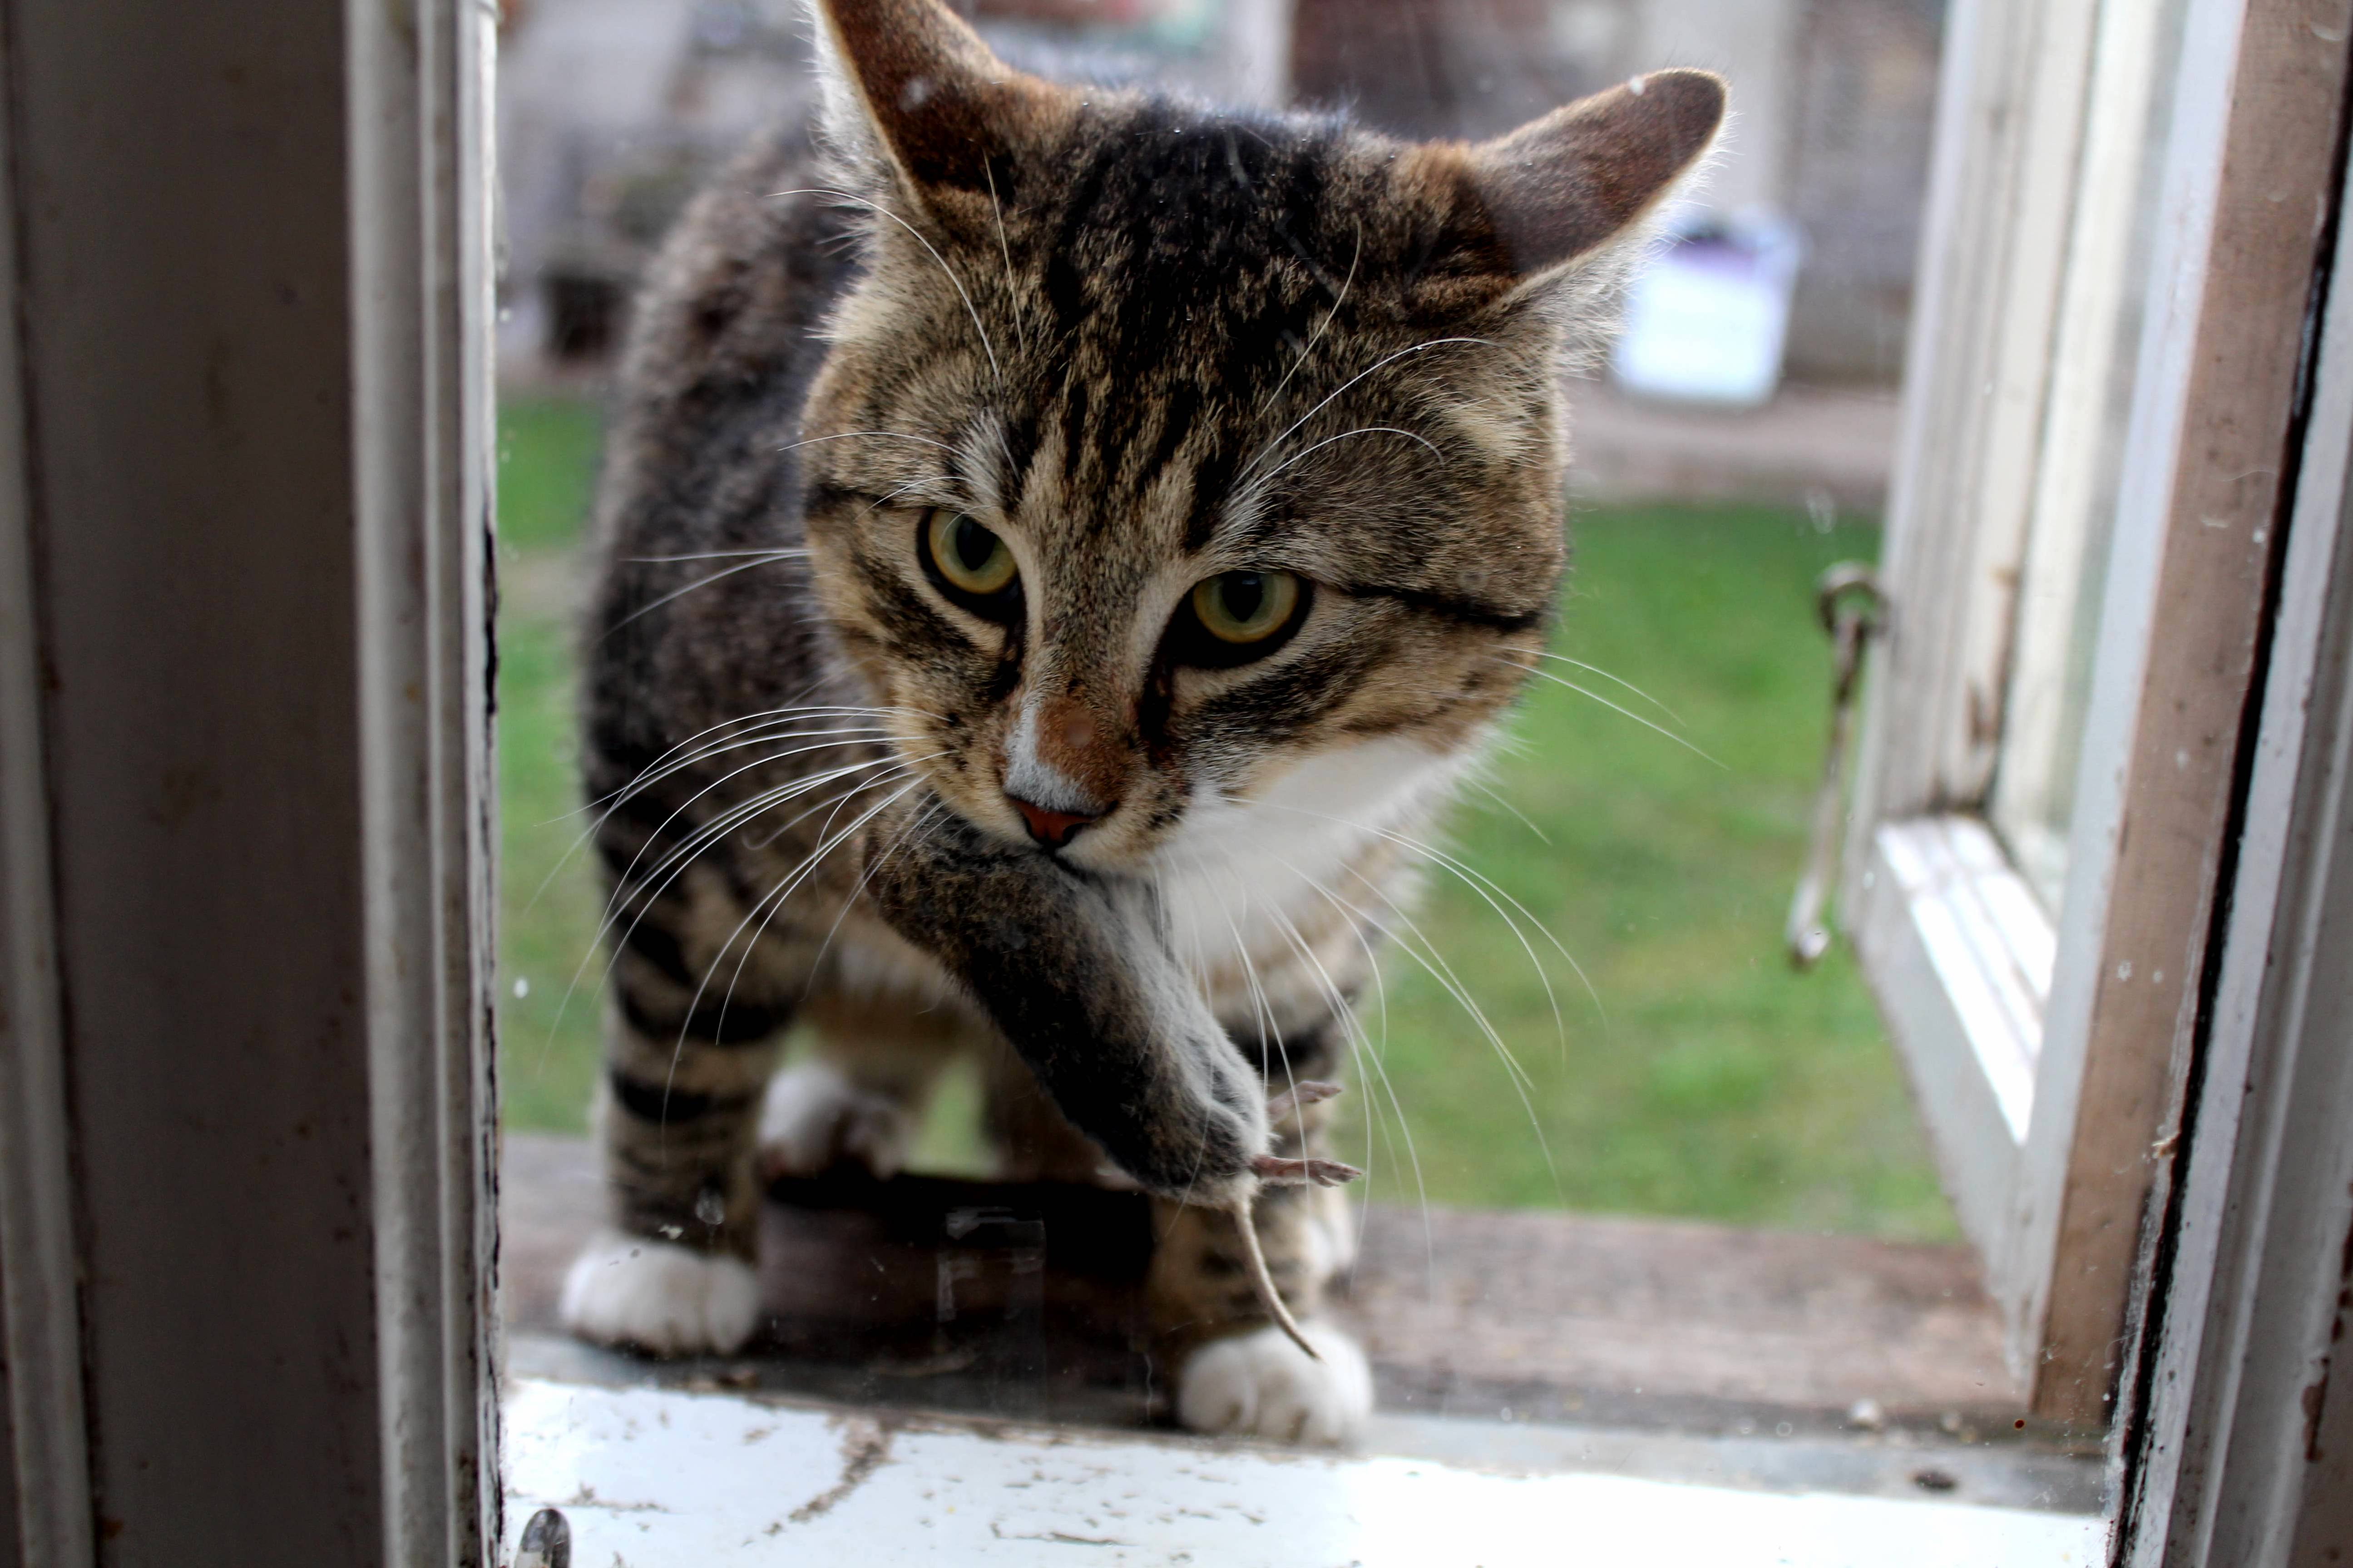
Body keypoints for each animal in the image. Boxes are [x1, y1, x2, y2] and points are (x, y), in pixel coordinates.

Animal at [558, 0, 1722, 1448]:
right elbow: (683, 1013)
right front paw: (665, 1255)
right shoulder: (675, 740)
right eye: (966, 553)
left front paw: (1252, 1323)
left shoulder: (1321, 904)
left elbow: (1274, 1078)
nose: (1046, 803)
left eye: (1246, 605)